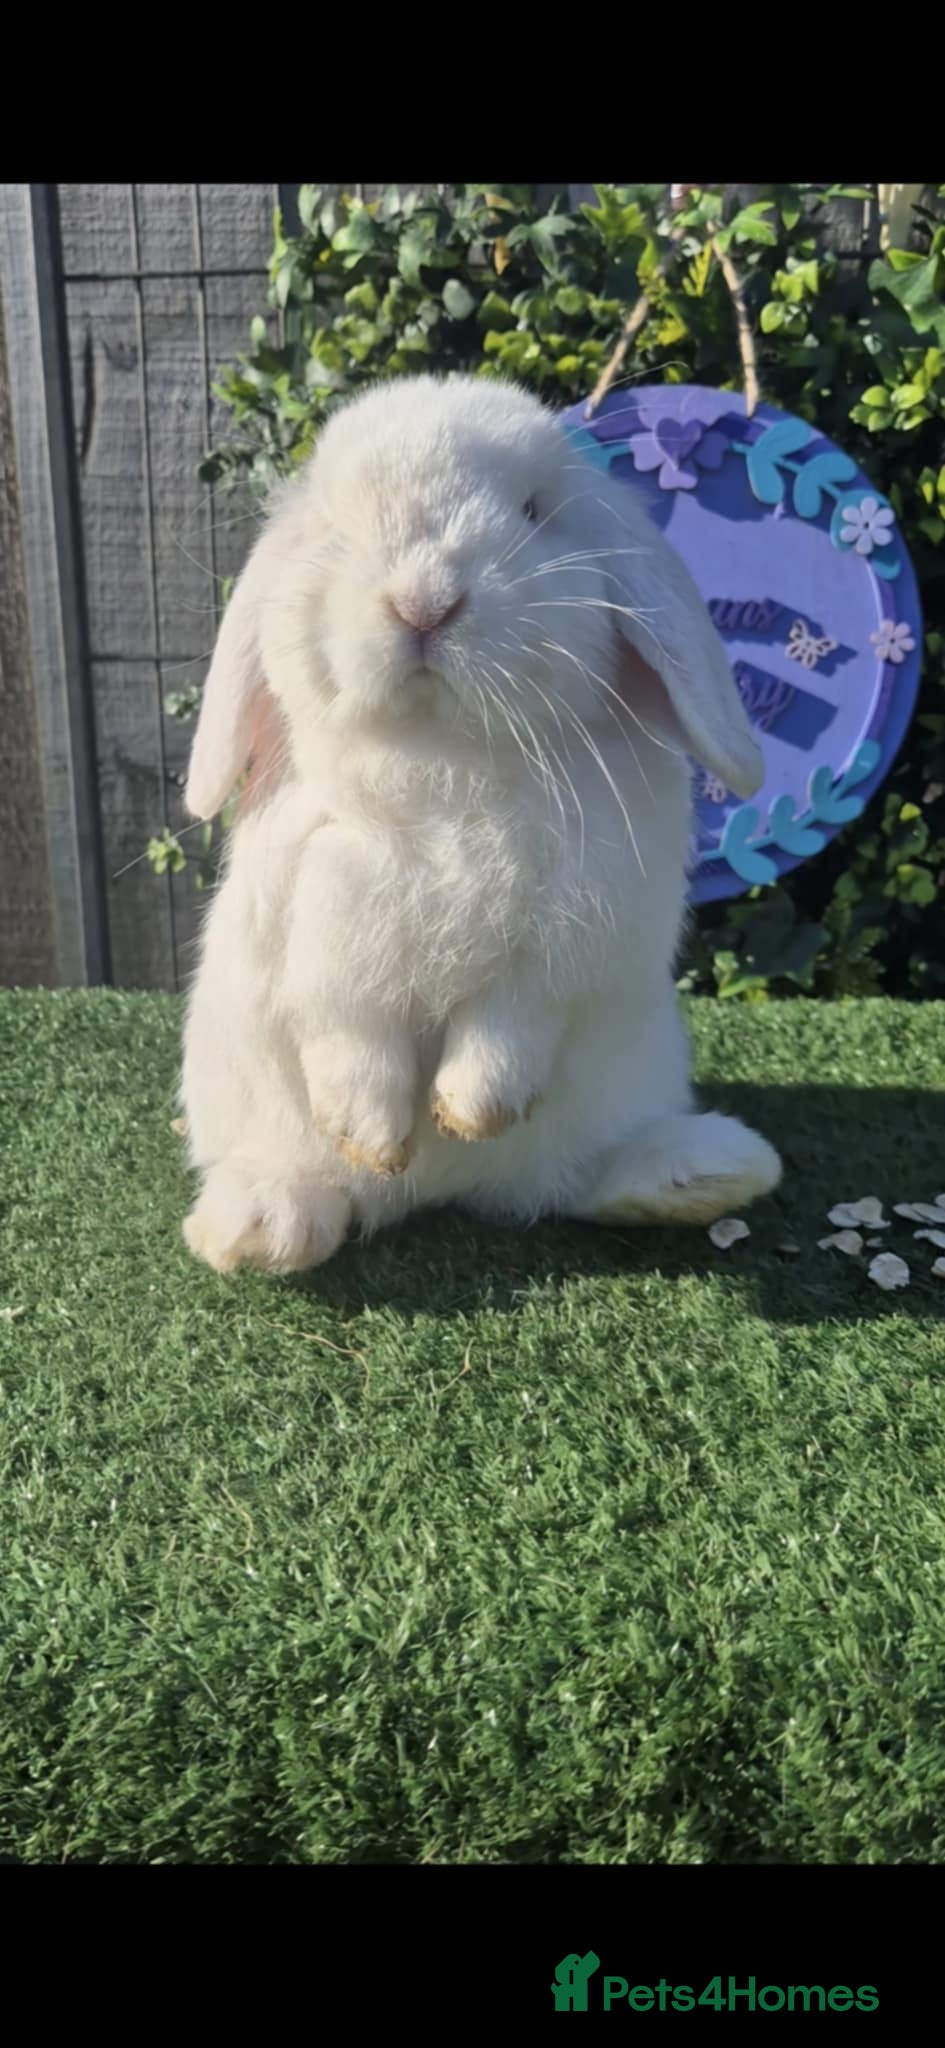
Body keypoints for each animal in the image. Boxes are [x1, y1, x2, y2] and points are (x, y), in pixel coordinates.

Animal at [180, 373, 781, 1273]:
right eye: (338, 527)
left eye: (532, 511)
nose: (423, 602)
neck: (441, 754)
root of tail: (442, 1195)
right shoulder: (322, 935)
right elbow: (351, 1037)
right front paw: (372, 1134)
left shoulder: (557, 946)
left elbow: (505, 1030)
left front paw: (468, 1111)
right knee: (318, 1188)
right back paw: (259, 1224)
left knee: (575, 1181)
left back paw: (700, 1172)